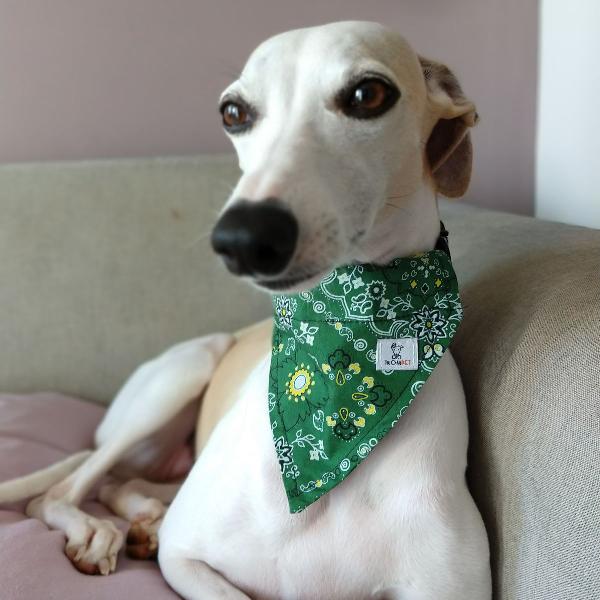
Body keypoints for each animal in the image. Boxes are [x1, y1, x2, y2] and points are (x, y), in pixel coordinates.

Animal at [0, 21, 490, 596]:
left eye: (368, 94)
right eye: (233, 112)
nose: (242, 238)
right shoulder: (185, 557)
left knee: (123, 484)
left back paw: (142, 517)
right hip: (181, 376)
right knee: (62, 490)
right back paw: (99, 531)